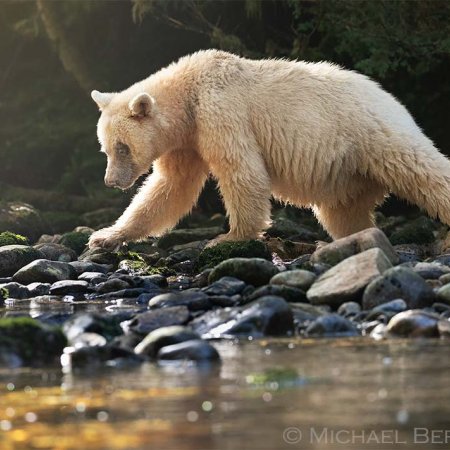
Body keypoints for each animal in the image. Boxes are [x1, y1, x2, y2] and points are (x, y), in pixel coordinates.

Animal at [88, 49, 450, 250]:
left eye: (122, 147)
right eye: (105, 149)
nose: (111, 181)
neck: (189, 93)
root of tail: (389, 97)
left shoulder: (221, 112)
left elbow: (241, 171)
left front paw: (229, 237)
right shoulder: (187, 142)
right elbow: (170, 188)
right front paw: (105, 236)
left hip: (373, 134)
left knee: (423, 171)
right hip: (349, 171)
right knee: (343, 212)